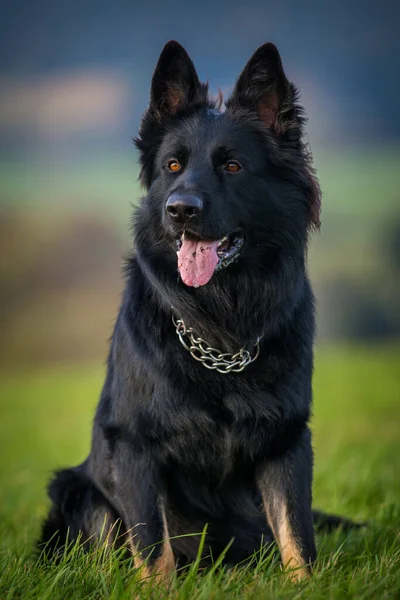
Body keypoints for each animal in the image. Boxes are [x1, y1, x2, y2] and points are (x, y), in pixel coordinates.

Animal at [39, 41, 354, 580]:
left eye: (233, 167)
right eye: (172, 166)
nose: (180, 209)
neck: (219, 325)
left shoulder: (286, 439)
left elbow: (297, 533)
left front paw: (305, 585)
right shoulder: (135, 446)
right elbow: (153, 548)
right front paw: (157, 587)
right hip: (80, 491)